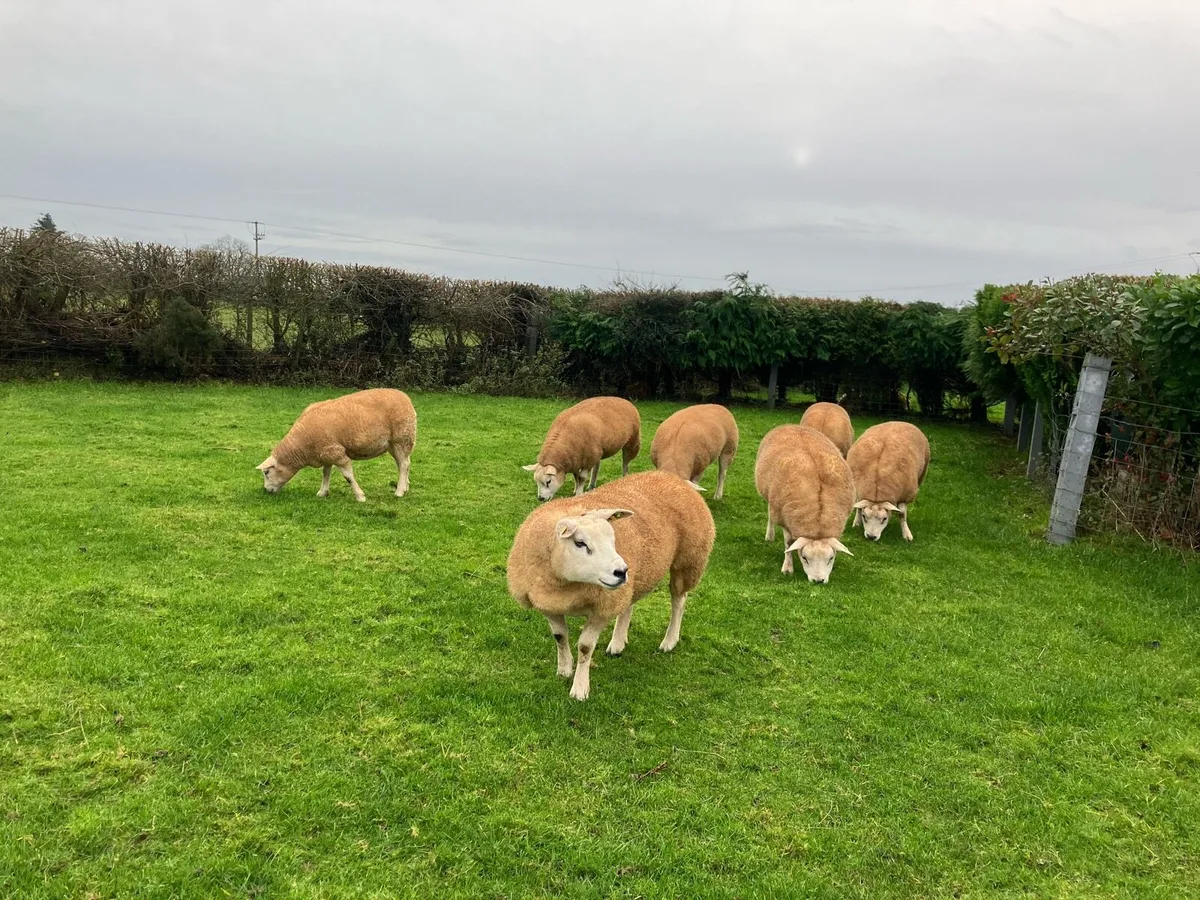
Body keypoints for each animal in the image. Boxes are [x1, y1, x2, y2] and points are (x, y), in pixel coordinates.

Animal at [256, 388, 417, 502]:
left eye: (266, 472)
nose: (265, 491)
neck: (301, 447)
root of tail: (406, 398)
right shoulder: (326, 452)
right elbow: (325, 473)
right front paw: (322, 492)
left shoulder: (337, 453)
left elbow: (348, 477)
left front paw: (360, 497)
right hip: (393, 443)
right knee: (404, 463)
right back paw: (405, 487)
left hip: (402, 437)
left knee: (404, 464)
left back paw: (399, 492)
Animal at [506, 470, 715, 701]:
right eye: (580, 543)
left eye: (613, 540)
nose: (622, 571)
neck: (567, 584)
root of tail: (673, 478)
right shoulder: (547, 603)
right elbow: (560, 637)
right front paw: (564, 670)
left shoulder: (602, 608)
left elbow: (585, 648)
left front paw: (580, 689)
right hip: (637, 574)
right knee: (629, 603)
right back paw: (618, 643)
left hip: (688, 560)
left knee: (679, 600)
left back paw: (669, 641)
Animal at [754, 424, 854, 584]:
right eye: (804, 558)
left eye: (831, 558)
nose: (818, 581)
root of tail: (791, 425)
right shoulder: (785, 517)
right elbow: (789, 543)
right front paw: (787, 568)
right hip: (772, 499)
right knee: (770, 514)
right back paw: (769, 535)